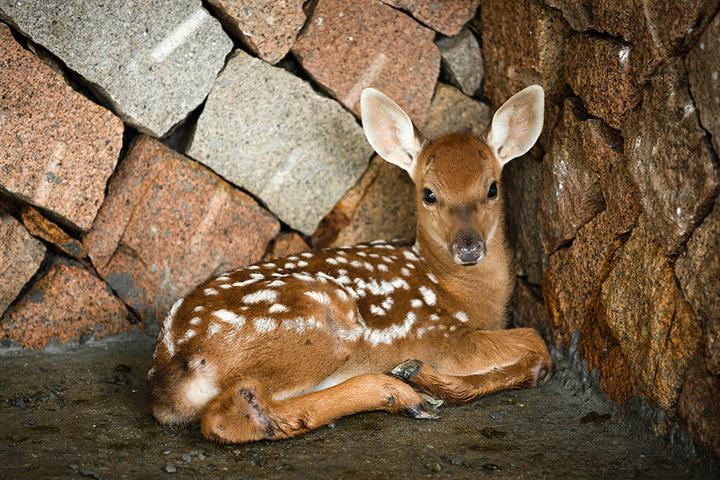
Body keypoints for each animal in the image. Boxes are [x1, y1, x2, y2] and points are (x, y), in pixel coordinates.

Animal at [148, 84, 552, 444]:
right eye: (429, 194)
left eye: (492, 188)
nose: (468, 248)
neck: (460, 291)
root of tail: (175, 363)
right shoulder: (437, 334)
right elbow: (538, 343)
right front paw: (421, 374)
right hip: (319, 319)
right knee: (230, 413)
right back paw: (402, 393)